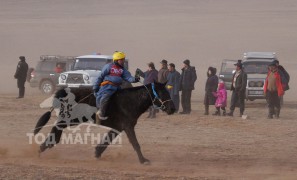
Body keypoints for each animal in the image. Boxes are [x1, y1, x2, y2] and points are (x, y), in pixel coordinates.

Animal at [33, 83, 175, 165]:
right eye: (163, 93)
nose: (172, 108)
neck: (132, 101)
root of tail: (64, 92)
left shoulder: (118, 128)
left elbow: (107, 141)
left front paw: (97, 153)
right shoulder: (128, 126)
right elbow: (135, 143)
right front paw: (143, 160)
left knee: (57, 128)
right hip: (71, 119)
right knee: (57, 127)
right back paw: (44, 146)